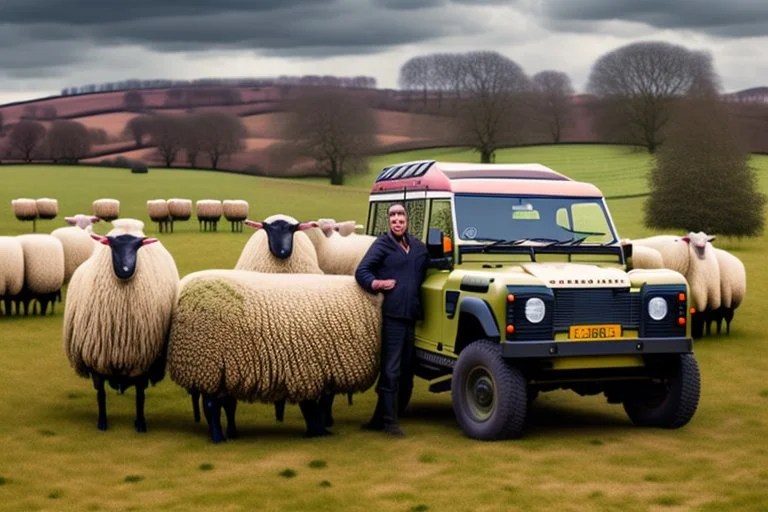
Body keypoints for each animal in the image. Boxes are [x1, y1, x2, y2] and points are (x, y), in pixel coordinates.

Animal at [62, 218, 179, 434]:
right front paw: (102, 422)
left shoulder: (142, 360)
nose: (125, 270)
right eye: (111, 244)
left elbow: (140, 396)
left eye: (138, 245)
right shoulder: (96, 358)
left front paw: (140, 423)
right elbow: (100, 395)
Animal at [168, 270, 384, 442]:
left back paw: (232, 433)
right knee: (211, 405)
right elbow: (313, 407)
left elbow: (319, 404)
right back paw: (218, 438)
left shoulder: (321, 370)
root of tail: (183, 289)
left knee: (227, 404)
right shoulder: (314, 370)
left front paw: (320, 428)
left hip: (224, 370)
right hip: (207, 364)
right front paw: (319, 432)